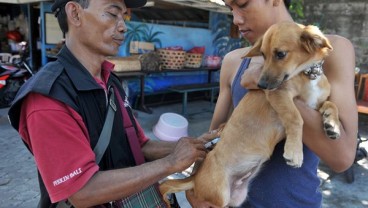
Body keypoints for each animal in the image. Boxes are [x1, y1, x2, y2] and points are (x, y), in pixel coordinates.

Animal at [160, 22, 340, 207]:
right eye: (263, 55)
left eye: (280, 54)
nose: (260, 85)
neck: (308, 75)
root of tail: (195, 178)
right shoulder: (279, 94)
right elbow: (296, 117)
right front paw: (295, 151)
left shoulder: (315, 103)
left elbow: (331, 105)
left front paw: (332, 125)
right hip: (221, 196)